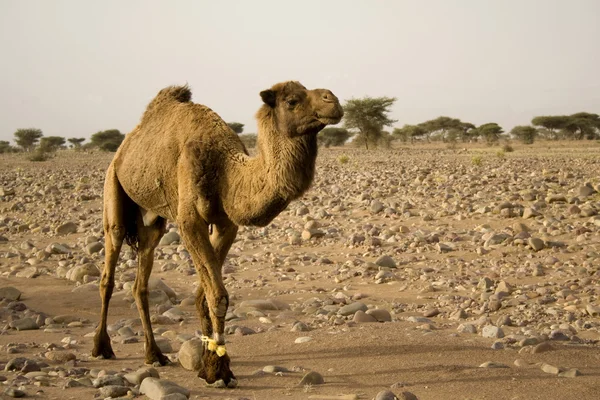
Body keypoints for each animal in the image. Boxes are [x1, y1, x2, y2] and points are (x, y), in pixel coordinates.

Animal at [89, 80, 342, 388]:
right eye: (292, 100)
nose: (333, 101)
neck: (226, 170)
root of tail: (124, 147)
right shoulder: (190, 221)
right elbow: (218, 295)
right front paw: (218, 369)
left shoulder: (225, 224)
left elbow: (205, 293)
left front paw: (209, 358)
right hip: (113, 186)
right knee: (108, 271)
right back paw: (101, 347)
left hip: (152, 221)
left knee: (141, 281)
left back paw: (155, 354)